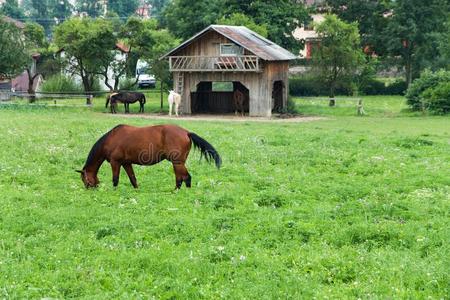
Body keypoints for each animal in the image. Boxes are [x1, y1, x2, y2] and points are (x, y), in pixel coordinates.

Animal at [76, 124, 222, 190]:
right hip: (177, 164)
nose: (89, 189)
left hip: (178, 163)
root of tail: (186, 132)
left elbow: (115, 180)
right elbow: (133, 179)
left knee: (186, 177)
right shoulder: (126, 163)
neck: (111, 139)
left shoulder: (115, 162)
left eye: (84, 179)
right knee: (179, 178)